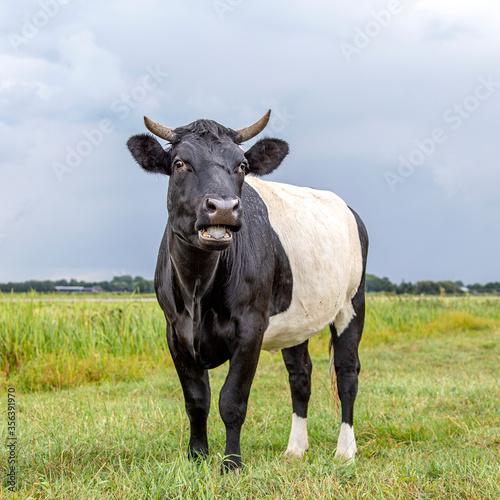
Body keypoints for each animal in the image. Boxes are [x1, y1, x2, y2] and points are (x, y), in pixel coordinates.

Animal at [125, 110, 368, 472]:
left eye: (241, 165)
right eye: (180, 163)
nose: (223, 207)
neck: (197, 291)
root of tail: (348, 209)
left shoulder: (250, 328)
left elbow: (232, 400)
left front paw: (231, 464)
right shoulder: (174, 331)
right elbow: (196, 400)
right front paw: (197, 457)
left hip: (353, 303)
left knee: (346, 373)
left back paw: (345, 450)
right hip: (297, 321)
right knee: (300, 376)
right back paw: (295, 449)